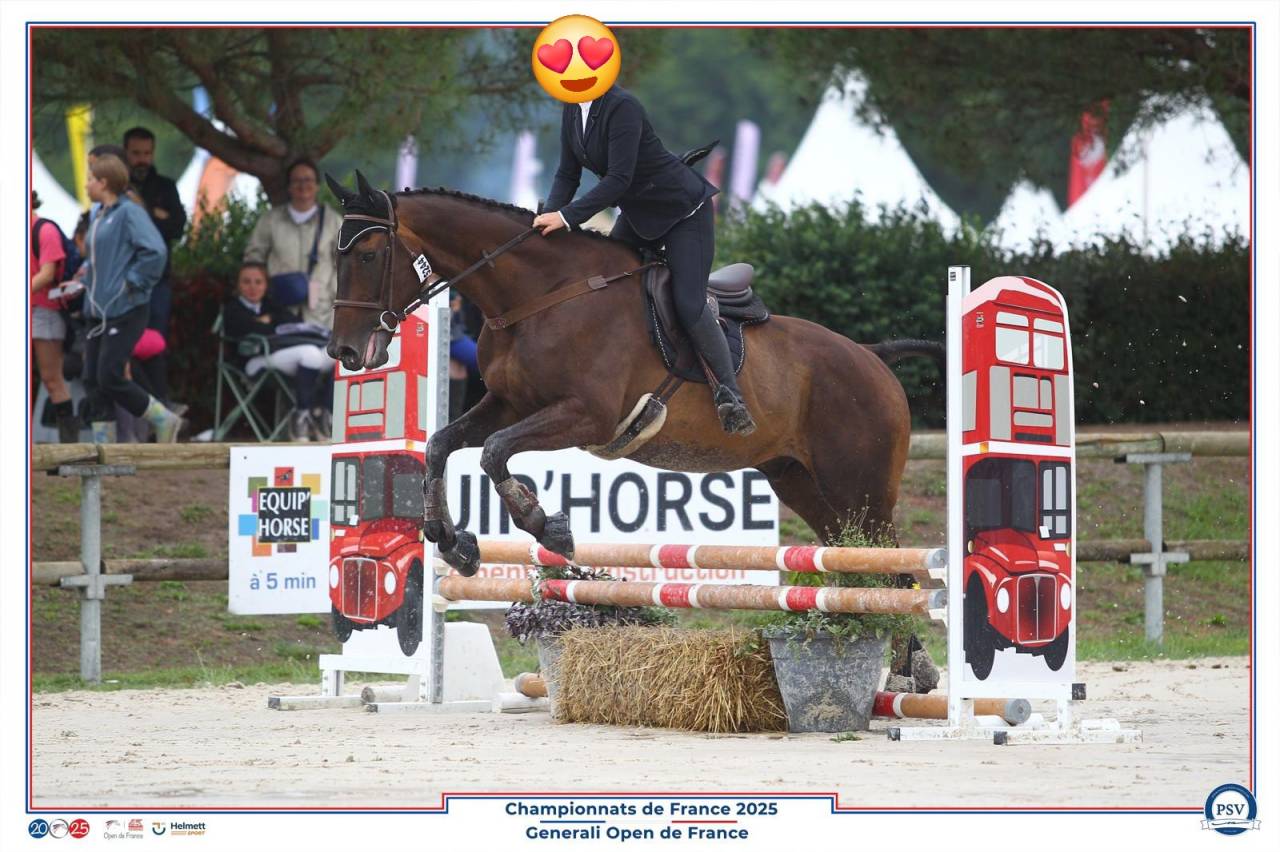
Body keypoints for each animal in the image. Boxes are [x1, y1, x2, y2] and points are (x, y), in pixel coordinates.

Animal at [324, 173, 938, 679]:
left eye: (370, 255)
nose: (345, 352)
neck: (537, 296)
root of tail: (872, 357)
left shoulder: (584, 415)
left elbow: (494, 452)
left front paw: (546, 526)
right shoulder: (508, 403)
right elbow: (441, 445)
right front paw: (454, 543)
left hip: (858, 485)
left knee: (894, 572)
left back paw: (909, 672)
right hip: (801, 483)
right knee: (857, 566)